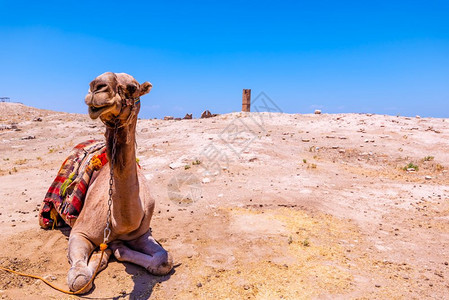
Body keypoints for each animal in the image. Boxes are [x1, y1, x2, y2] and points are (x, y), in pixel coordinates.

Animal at [66, 71, 172, 292]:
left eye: (132, 87)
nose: (96, 87)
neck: (117, 224)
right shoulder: (79, 232)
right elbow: (80, 279)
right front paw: (102, 255)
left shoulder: (141, 234)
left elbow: (165, 260)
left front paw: (117, 249)